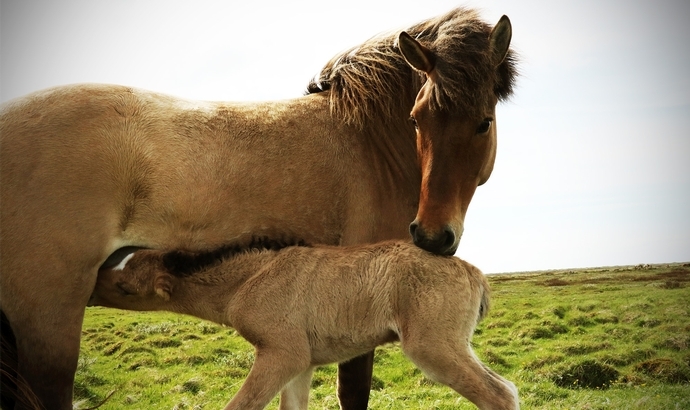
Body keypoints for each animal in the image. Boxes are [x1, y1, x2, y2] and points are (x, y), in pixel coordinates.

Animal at [88, 240, 516, 410]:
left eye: (125, 288)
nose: (90, 287)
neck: (246, 280)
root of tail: (474, 273)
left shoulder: (282, 353)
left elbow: (241, 404)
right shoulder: (303, 362)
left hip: (432, 346)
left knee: (496, 395)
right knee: (506, 388)